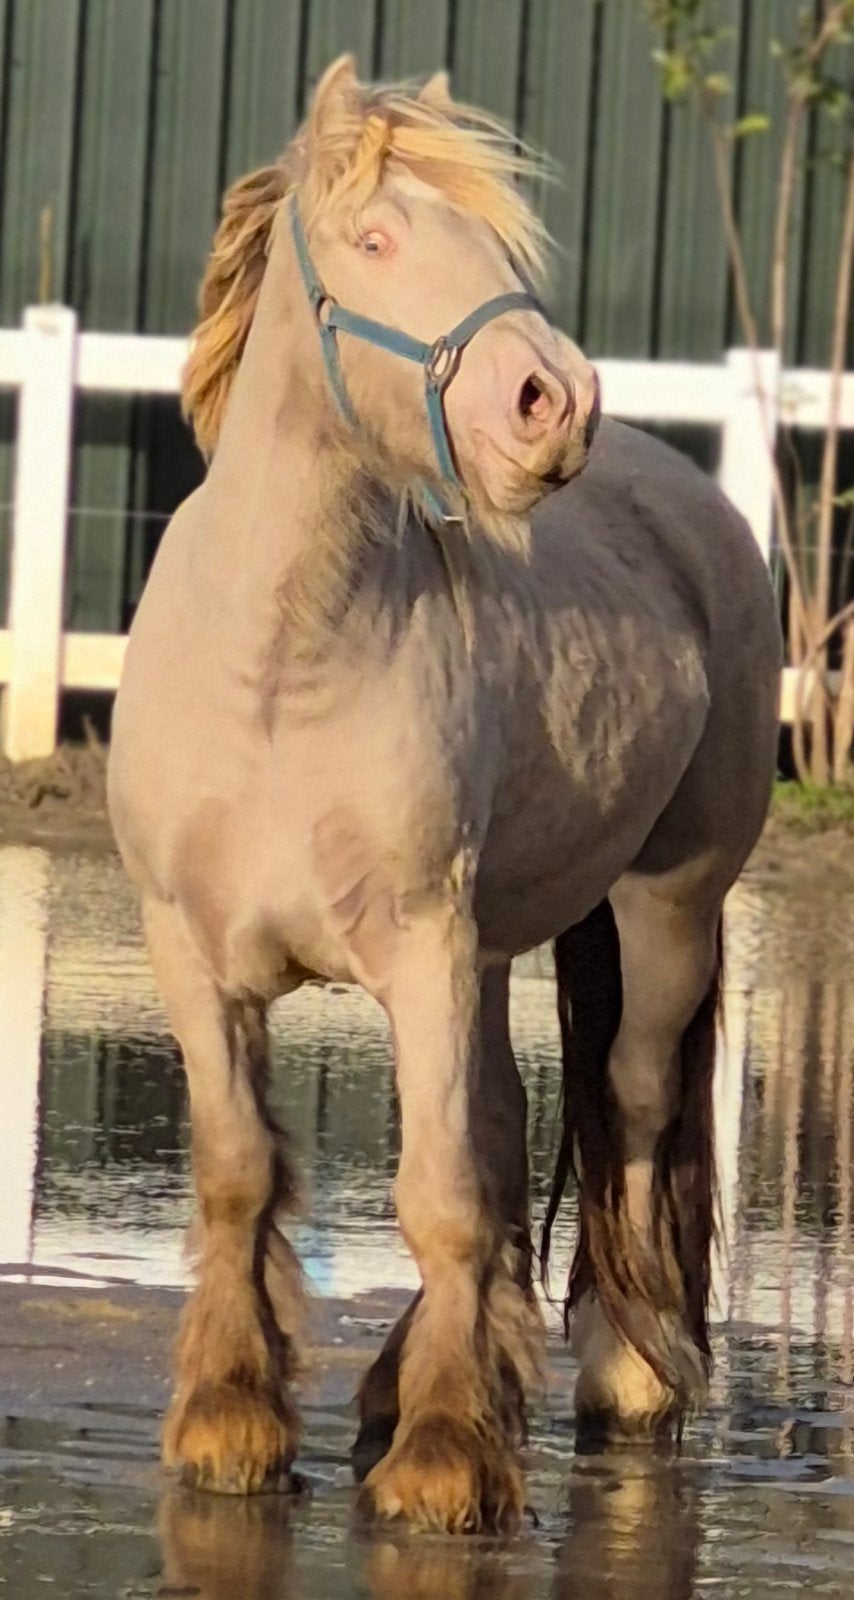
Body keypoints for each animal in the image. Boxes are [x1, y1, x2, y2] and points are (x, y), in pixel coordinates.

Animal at [107, 57, 781, 1532]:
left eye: (499, 247)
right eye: (373, 240)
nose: (554, 403)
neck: (279, 668)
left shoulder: (420, 948)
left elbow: (442, 1196)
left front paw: (444, 1458)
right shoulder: (193, 956)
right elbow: (242, 1176)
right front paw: (233, 1424)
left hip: (658, 915)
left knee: (627, 1099)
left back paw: (616, 1373)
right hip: (486, 955)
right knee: (516, 1122)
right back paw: (403, 1384)